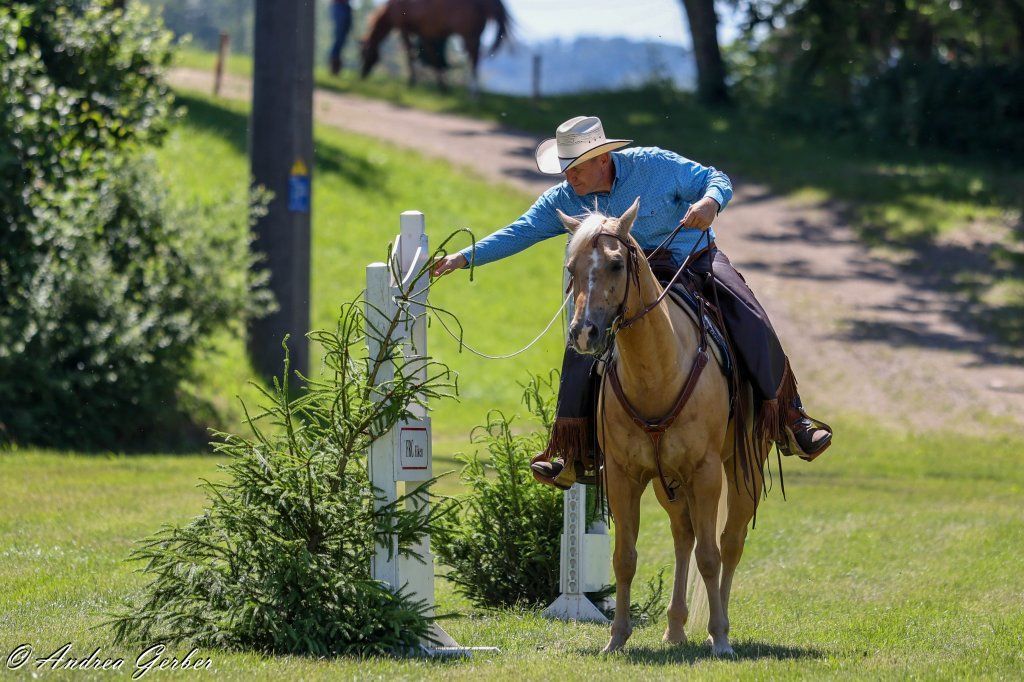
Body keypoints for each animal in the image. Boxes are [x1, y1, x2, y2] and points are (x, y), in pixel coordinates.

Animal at [360, 0, 510, 96]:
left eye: (364, 53)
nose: (362, 74)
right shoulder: (426, 33)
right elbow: (434, 58)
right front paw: (443, 87)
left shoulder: (404, 28)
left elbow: (411, 54)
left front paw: (412, 82)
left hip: (469, 35)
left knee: (474, 59)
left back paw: (474, 93)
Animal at [558, 199, 769, 656]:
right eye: (571, 267)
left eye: (616, 263)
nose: (583, 332)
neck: (658, 372)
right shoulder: (624, 476)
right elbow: (625, 557)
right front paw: (616, 637)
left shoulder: (706, 474)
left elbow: (711, 555)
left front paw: (720, 638)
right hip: (666, 482)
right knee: (683, 536)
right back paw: (675, 628)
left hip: (743, 470)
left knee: (729, 543)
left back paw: (717, 627)